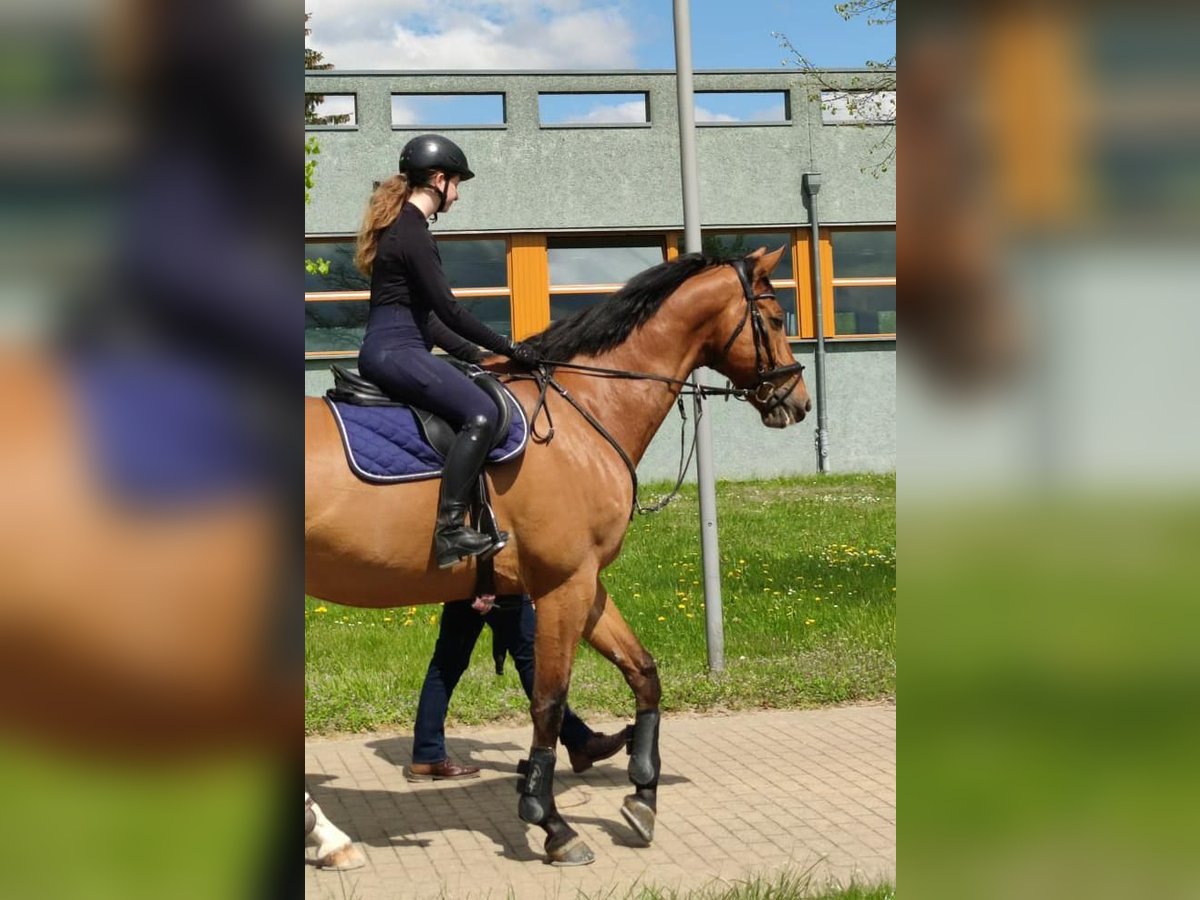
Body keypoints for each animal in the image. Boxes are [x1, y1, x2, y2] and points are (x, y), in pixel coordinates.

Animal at [307, 244, 816, 868]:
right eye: (775, 318)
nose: (797, 402)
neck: (586, 411)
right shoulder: (561, 585)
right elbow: (549, 701)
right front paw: (550, 821)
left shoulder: (587, 583)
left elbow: (643, 673)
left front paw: (642, 792)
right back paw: (328, 837)